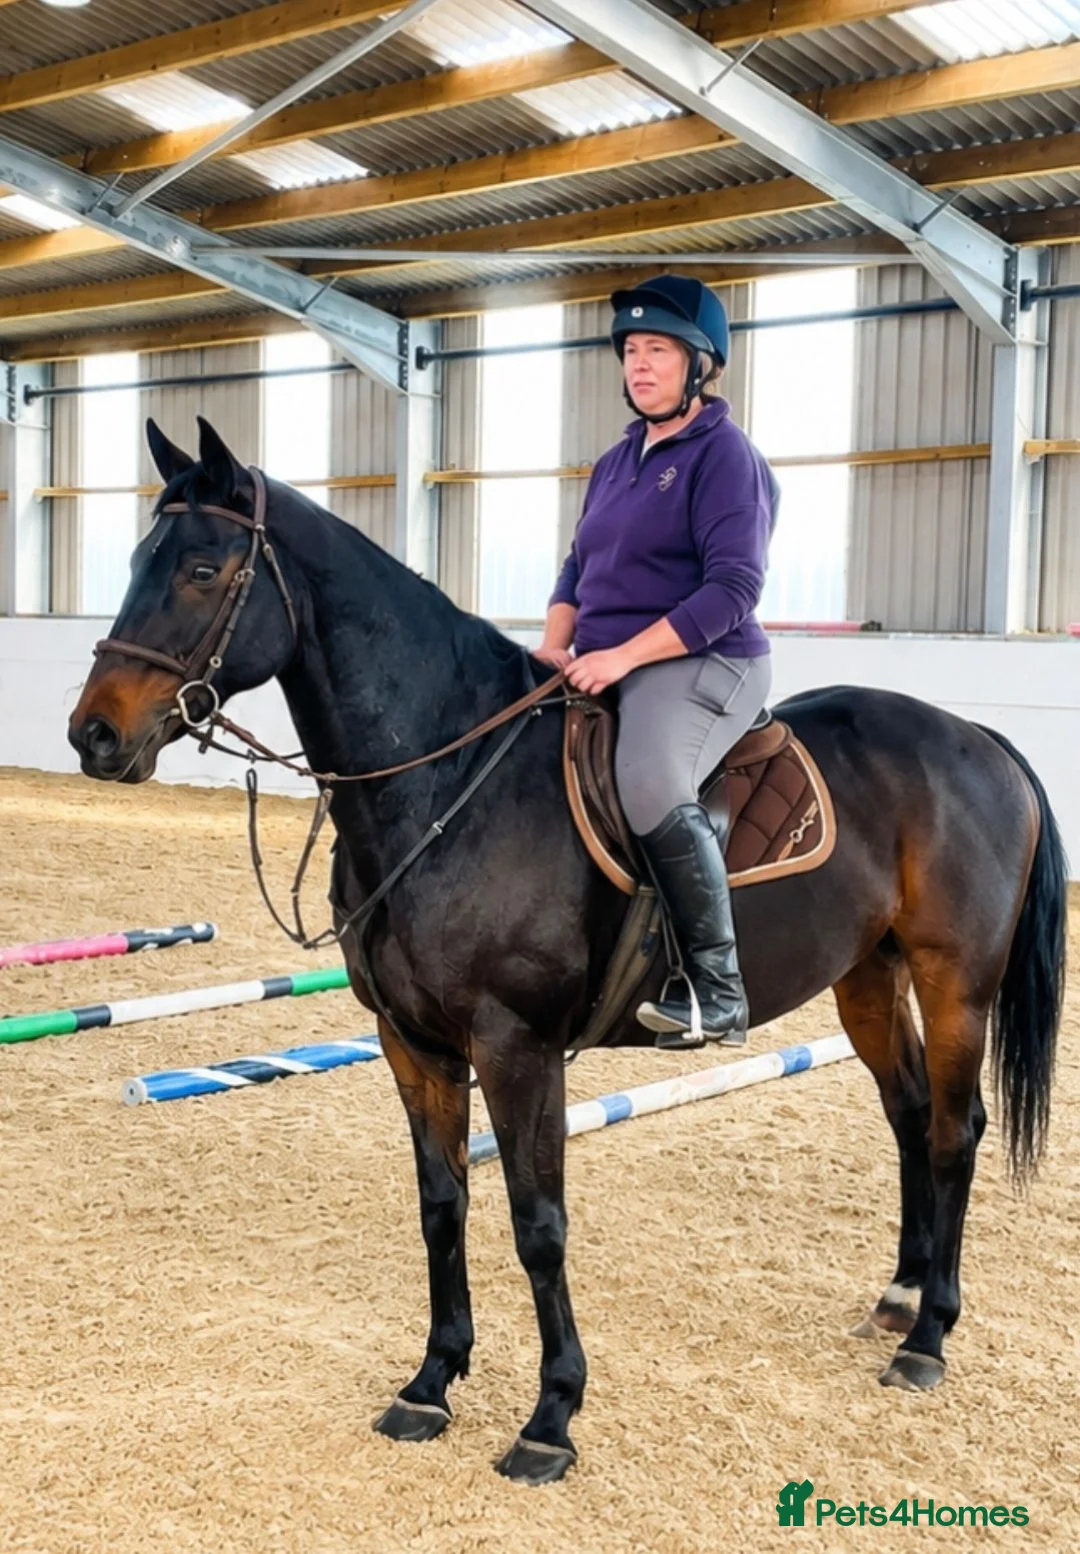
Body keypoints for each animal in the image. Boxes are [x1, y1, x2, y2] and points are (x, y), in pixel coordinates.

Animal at [68, 417, 1066, 1485]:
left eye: (202, 569)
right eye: (136, 561)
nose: (94, 735)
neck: (448, 777)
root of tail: (975, 737)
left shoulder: (517, 1047)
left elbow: (537, 1226)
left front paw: (550, 1417)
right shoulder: (413, 1044)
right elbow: (442, 1205)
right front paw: (431, 1383)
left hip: (956, 980)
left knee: (956, 1129)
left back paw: (930, 1337)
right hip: (867, 977)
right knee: (909, 1112)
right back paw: (901, 1297)